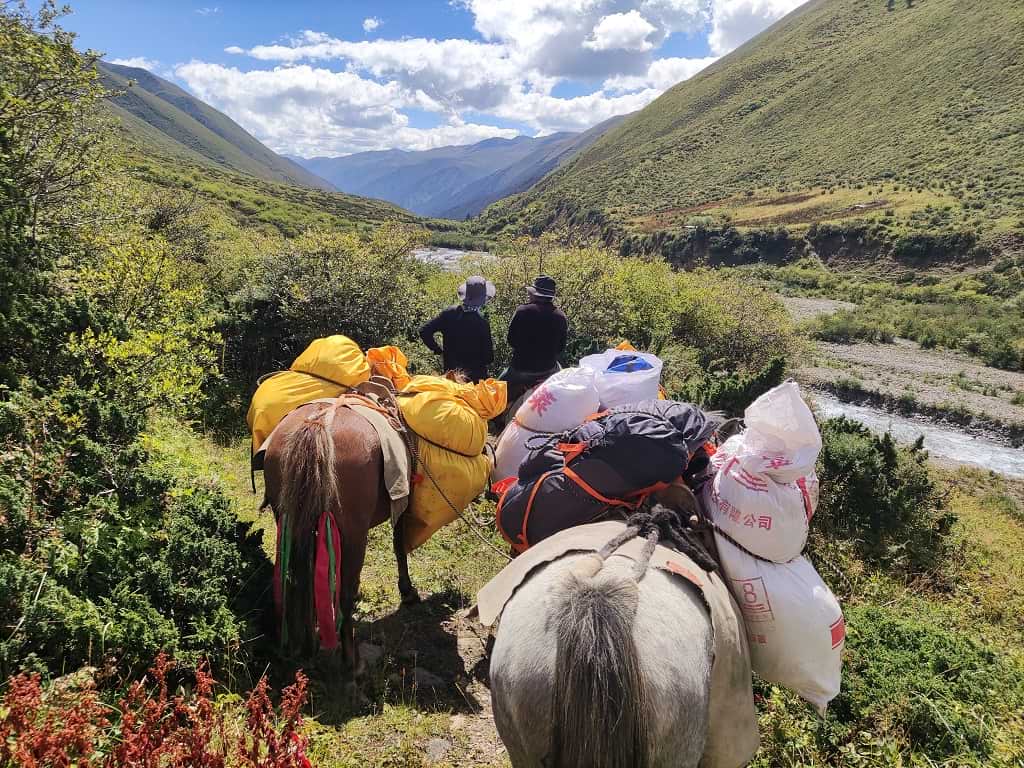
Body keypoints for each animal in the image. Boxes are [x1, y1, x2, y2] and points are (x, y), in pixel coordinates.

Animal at [266, 403, 421, 671]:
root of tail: (318, 422)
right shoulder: (402, 504)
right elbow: (399, 545)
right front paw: (407, 591)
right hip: (354, 534)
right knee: (346, 592)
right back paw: (352, 660)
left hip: (290, 521)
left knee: (296, 578)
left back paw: (305, 644)